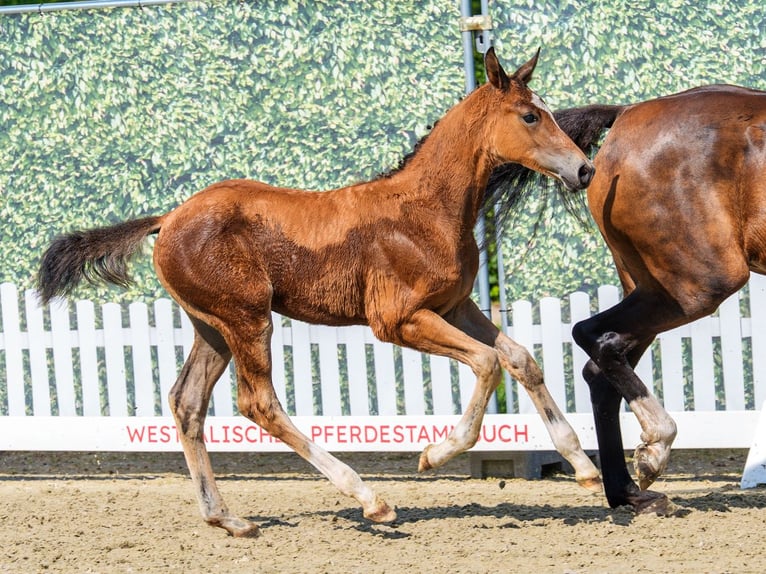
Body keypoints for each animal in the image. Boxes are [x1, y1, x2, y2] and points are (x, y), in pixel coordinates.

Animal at [37, 48, 600, 537]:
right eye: (530, 116)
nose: (585, 169)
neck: (425, 209)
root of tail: (168, 218)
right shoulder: (398, 319)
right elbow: (487, 363)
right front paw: (433, 454)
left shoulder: (455, 306)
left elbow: (521, 359)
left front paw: (583, 467)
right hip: (247, 319)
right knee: (258, 402)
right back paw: (370, 499)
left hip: (211, 328)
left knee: (187, 402)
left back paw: (228, 518)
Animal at [488, 83, 766, 514]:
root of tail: (627, 113)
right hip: (700, 283)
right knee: (593, 336)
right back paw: (655, 448)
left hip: (655, 286)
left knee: (600, 367)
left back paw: (629, 493)